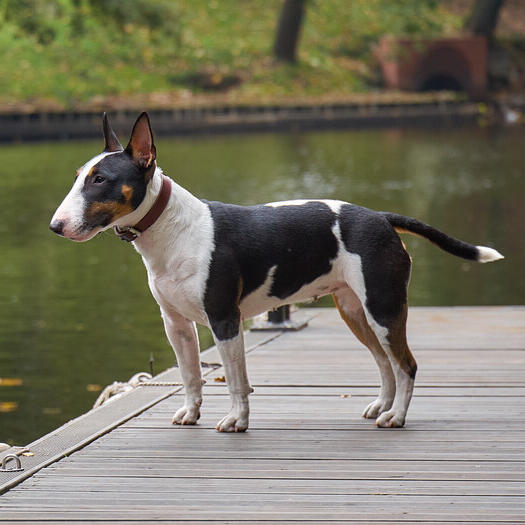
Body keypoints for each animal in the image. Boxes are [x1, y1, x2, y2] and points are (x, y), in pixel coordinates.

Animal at [50, 113, 504, 430]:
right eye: (78, 177)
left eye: (101, 179)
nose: (56, 226)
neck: (171, 230)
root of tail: (381, 217)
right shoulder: (175, 323)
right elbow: (191, 375)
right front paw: (190, 413)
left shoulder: (225, 320)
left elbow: (236, 380)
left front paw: (237, 421)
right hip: (356, 312)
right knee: (384, 362)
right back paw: (382, 406)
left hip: (384, 306)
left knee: (405, 364)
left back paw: (396, 417)